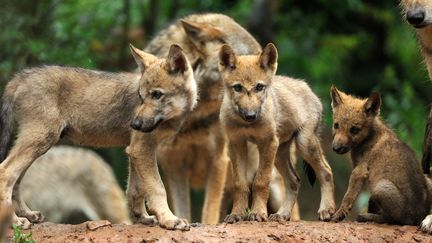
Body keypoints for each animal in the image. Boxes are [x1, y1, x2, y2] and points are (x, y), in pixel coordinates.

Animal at [0, 44, 197, 231]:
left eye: (156, 95)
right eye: (141, 97)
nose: (134, 124)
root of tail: (22, 76)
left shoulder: (135, 151)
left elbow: (136, 190)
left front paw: (143, 218)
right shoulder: (141, 149)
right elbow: (157, 189)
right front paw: (171, 220)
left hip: (37, 146)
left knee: (16, 182)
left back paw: (28, 215)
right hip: (41, 141)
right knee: (6, 172)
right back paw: (15, 222)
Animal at [219, 42, 334, 222]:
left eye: (259, 87)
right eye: (238, 87)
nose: (250, 115)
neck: (246, 124)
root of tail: (308, 88)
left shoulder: (268, 143)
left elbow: (260, 182)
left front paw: (258, 213)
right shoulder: (236, 144)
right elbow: (241, 184)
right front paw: (237, 214)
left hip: (304, 144)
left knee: (326, 171)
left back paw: (327, 210)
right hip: (280, 154)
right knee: (295, 181)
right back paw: (282, 214)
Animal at [330, 86, 430, 226]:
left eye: (354, 130)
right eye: (336, 125)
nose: (336, 148)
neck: (369, 137)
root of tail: (418, 218)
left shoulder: (359, 171)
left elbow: (348, 197)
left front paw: (338, 215)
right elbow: (369, 201)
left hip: (380, 187)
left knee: (392, 220)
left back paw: (367, 217)